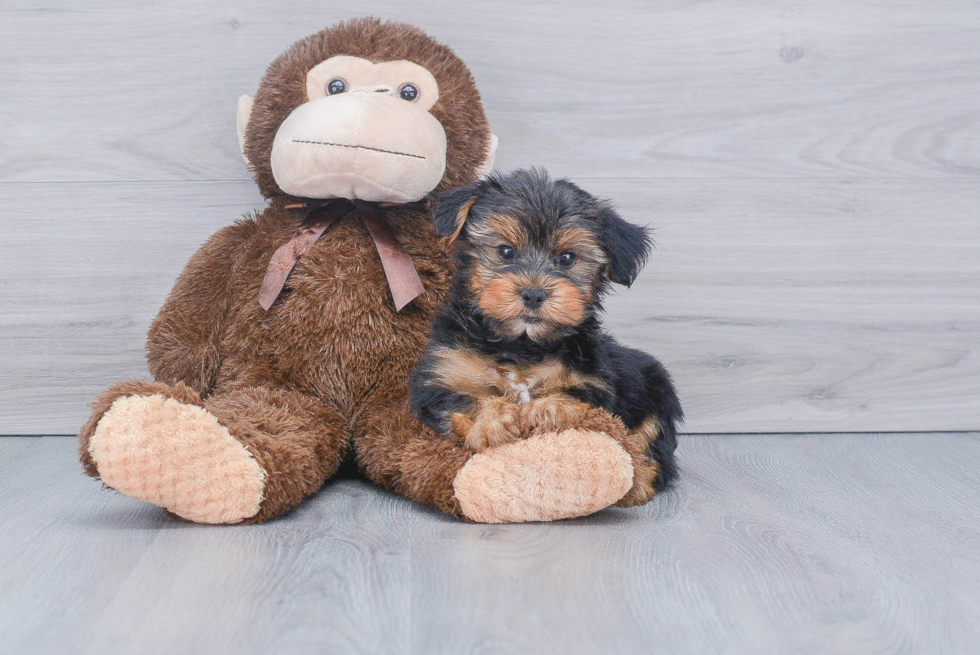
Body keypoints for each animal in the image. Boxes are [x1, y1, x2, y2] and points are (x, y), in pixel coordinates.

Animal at [408, 169, 680, 492]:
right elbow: (463, 399)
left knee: (652, 449)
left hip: (656, 392)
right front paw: (494, 419)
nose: (533, 294)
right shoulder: (441, 378)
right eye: (505, 251)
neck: (521, 344)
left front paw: (544, 410)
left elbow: (574, 399)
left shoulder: (594, 384)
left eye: (567, 258)